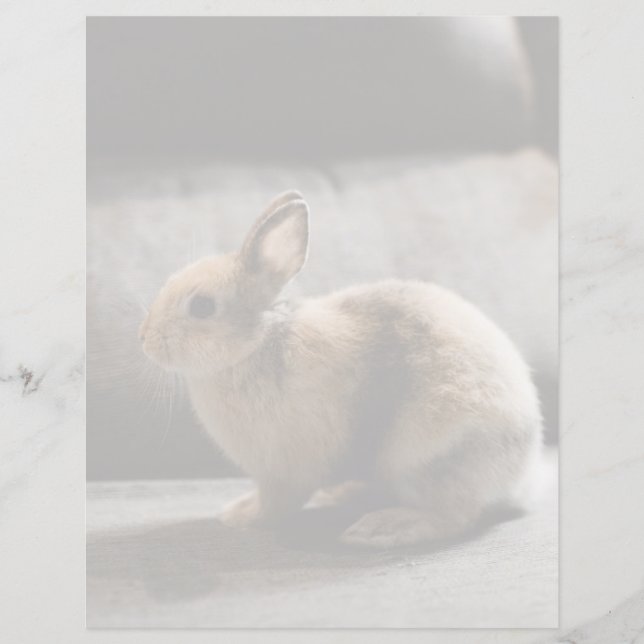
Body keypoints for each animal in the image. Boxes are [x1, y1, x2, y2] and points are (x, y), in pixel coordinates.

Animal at [140, 190, 544, 547]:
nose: (144, 339)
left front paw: (239, 516)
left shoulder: (283, 470)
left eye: (202, 306)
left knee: (454, 516)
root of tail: (524, 468)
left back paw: (382, 528)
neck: (258, 344)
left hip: (427, 456)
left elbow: (275, 504)